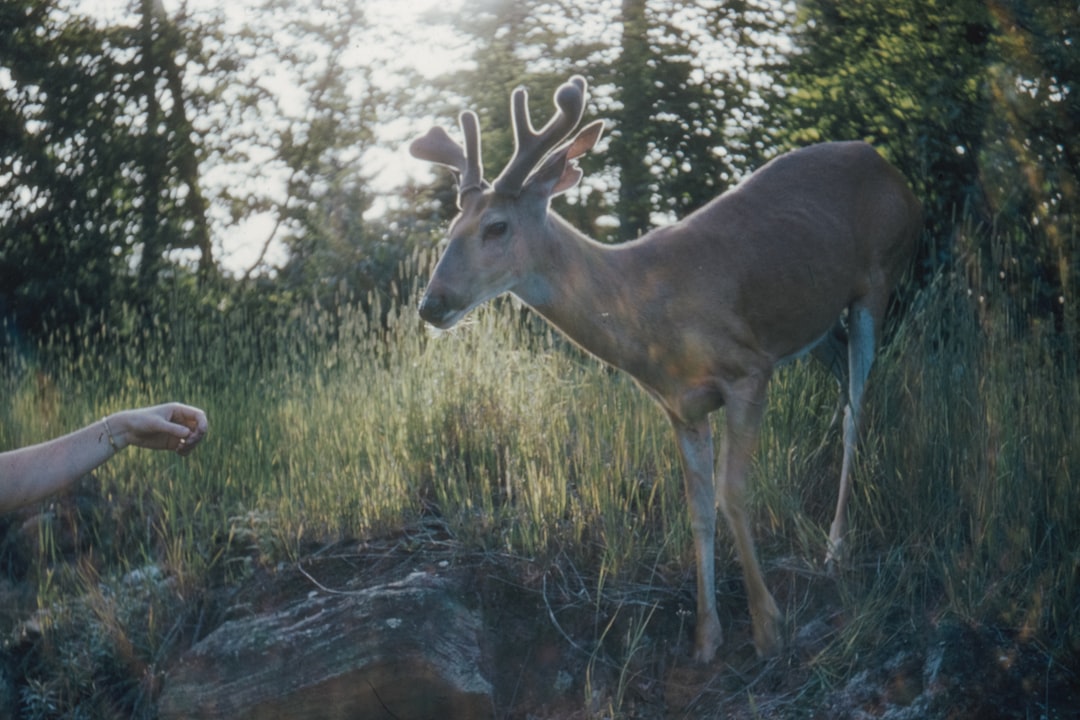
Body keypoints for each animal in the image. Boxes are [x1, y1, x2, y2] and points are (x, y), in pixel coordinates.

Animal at [408, 76, 915, 660]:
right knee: (843, 385)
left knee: (858, 407)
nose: (431, 304)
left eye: (496, 226)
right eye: (452, 226)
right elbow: (698, 509)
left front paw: (768, 627)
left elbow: (732, 494)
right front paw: (706, 638)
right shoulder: (681, 406)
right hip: (818, 321)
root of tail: (887, 166)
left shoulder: (749, 370)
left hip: (878, 278)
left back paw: (836, 549)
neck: (647, 312)